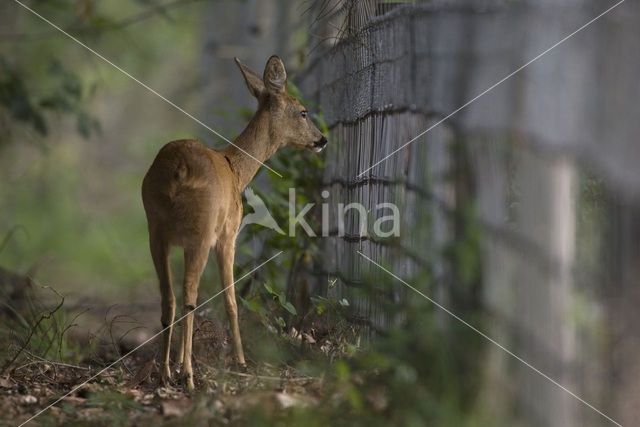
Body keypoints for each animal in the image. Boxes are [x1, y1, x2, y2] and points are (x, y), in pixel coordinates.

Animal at [142, 55, 328, 390]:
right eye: (303, 111)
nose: (322, 139)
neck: (237, 170)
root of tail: (178, 170)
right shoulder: (228, 234)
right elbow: (231, 300)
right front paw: (241, 362)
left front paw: (176, 364)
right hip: (201, 230)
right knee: (190, 295)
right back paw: (188, 374)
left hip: (155, 228)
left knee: (169, 297)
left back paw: (165, 372)